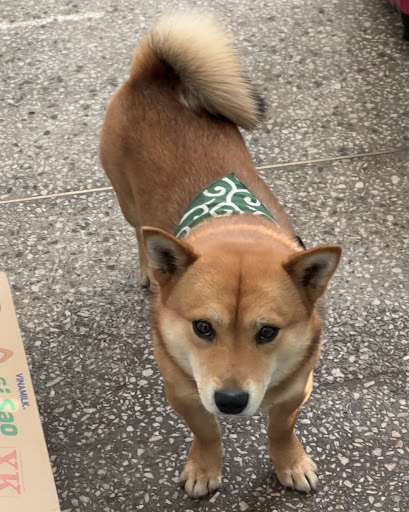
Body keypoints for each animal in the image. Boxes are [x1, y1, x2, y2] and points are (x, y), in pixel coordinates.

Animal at [99, 13, 341, 499]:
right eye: (202, 328)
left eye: (267, 332)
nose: (231, 401)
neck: (234, 220)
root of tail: (152, 75)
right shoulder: (183, 392)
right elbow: (206, 431)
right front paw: (204, 467)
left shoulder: (295, 388)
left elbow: (281, 428)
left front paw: (290, 462)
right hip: (127, 200)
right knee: (138, 232)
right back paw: (148, 268)